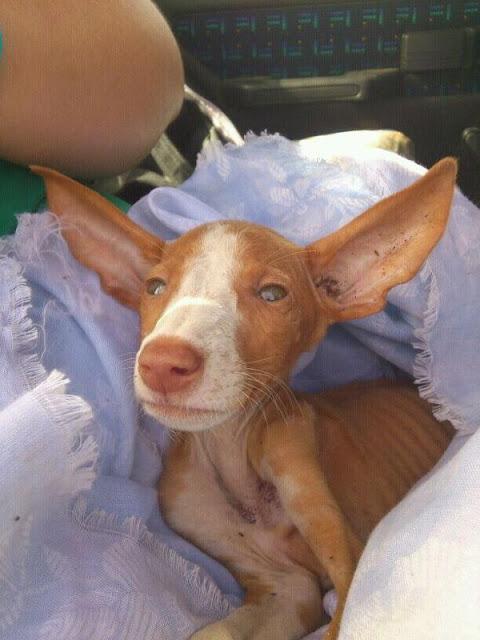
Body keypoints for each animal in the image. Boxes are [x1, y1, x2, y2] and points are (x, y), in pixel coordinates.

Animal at [31, 159, 456, 640]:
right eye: (154, 287)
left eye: (273, 294)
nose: (162, 362)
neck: (233, 454)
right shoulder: (283, 588)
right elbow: (215, 631)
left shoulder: (337, 548)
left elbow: (342, 614)